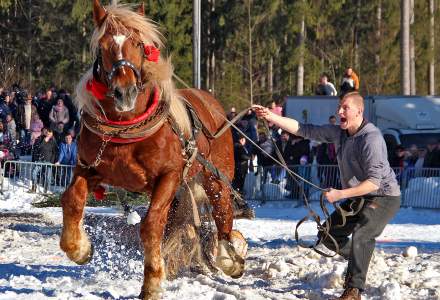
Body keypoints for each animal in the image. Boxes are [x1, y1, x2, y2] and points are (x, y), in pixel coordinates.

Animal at [58, 1, 246, 298]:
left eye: (137, 43)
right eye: (104, 46)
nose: (125, 92)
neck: (125, 128)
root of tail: (212, 104)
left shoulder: (169, 176)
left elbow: (151, 225)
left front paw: (152, 284)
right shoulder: (88, 168)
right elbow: (73, 200)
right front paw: (79, 249)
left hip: (215, 177)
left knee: (223, 212)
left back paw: (230, 258)